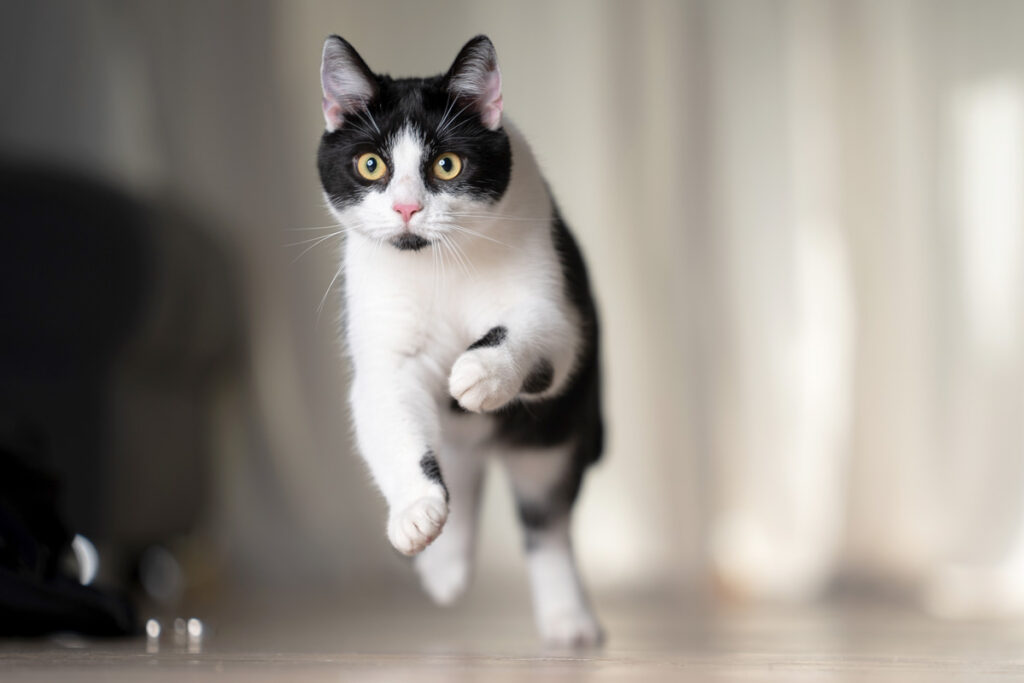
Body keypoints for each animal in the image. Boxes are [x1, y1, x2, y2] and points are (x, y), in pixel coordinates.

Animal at [317, 36, 606, 647]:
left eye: (446, 164)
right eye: (371, 164)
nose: (406, 207)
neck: (437, 266)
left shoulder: (557, 311)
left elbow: (534, 329)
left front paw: (483, 371)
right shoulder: (385, 355)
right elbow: (393, 419)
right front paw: (416, 513)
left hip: (552, 437)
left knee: (546, 521)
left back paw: (567, 618)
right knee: (459, 465)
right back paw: (445, 566)